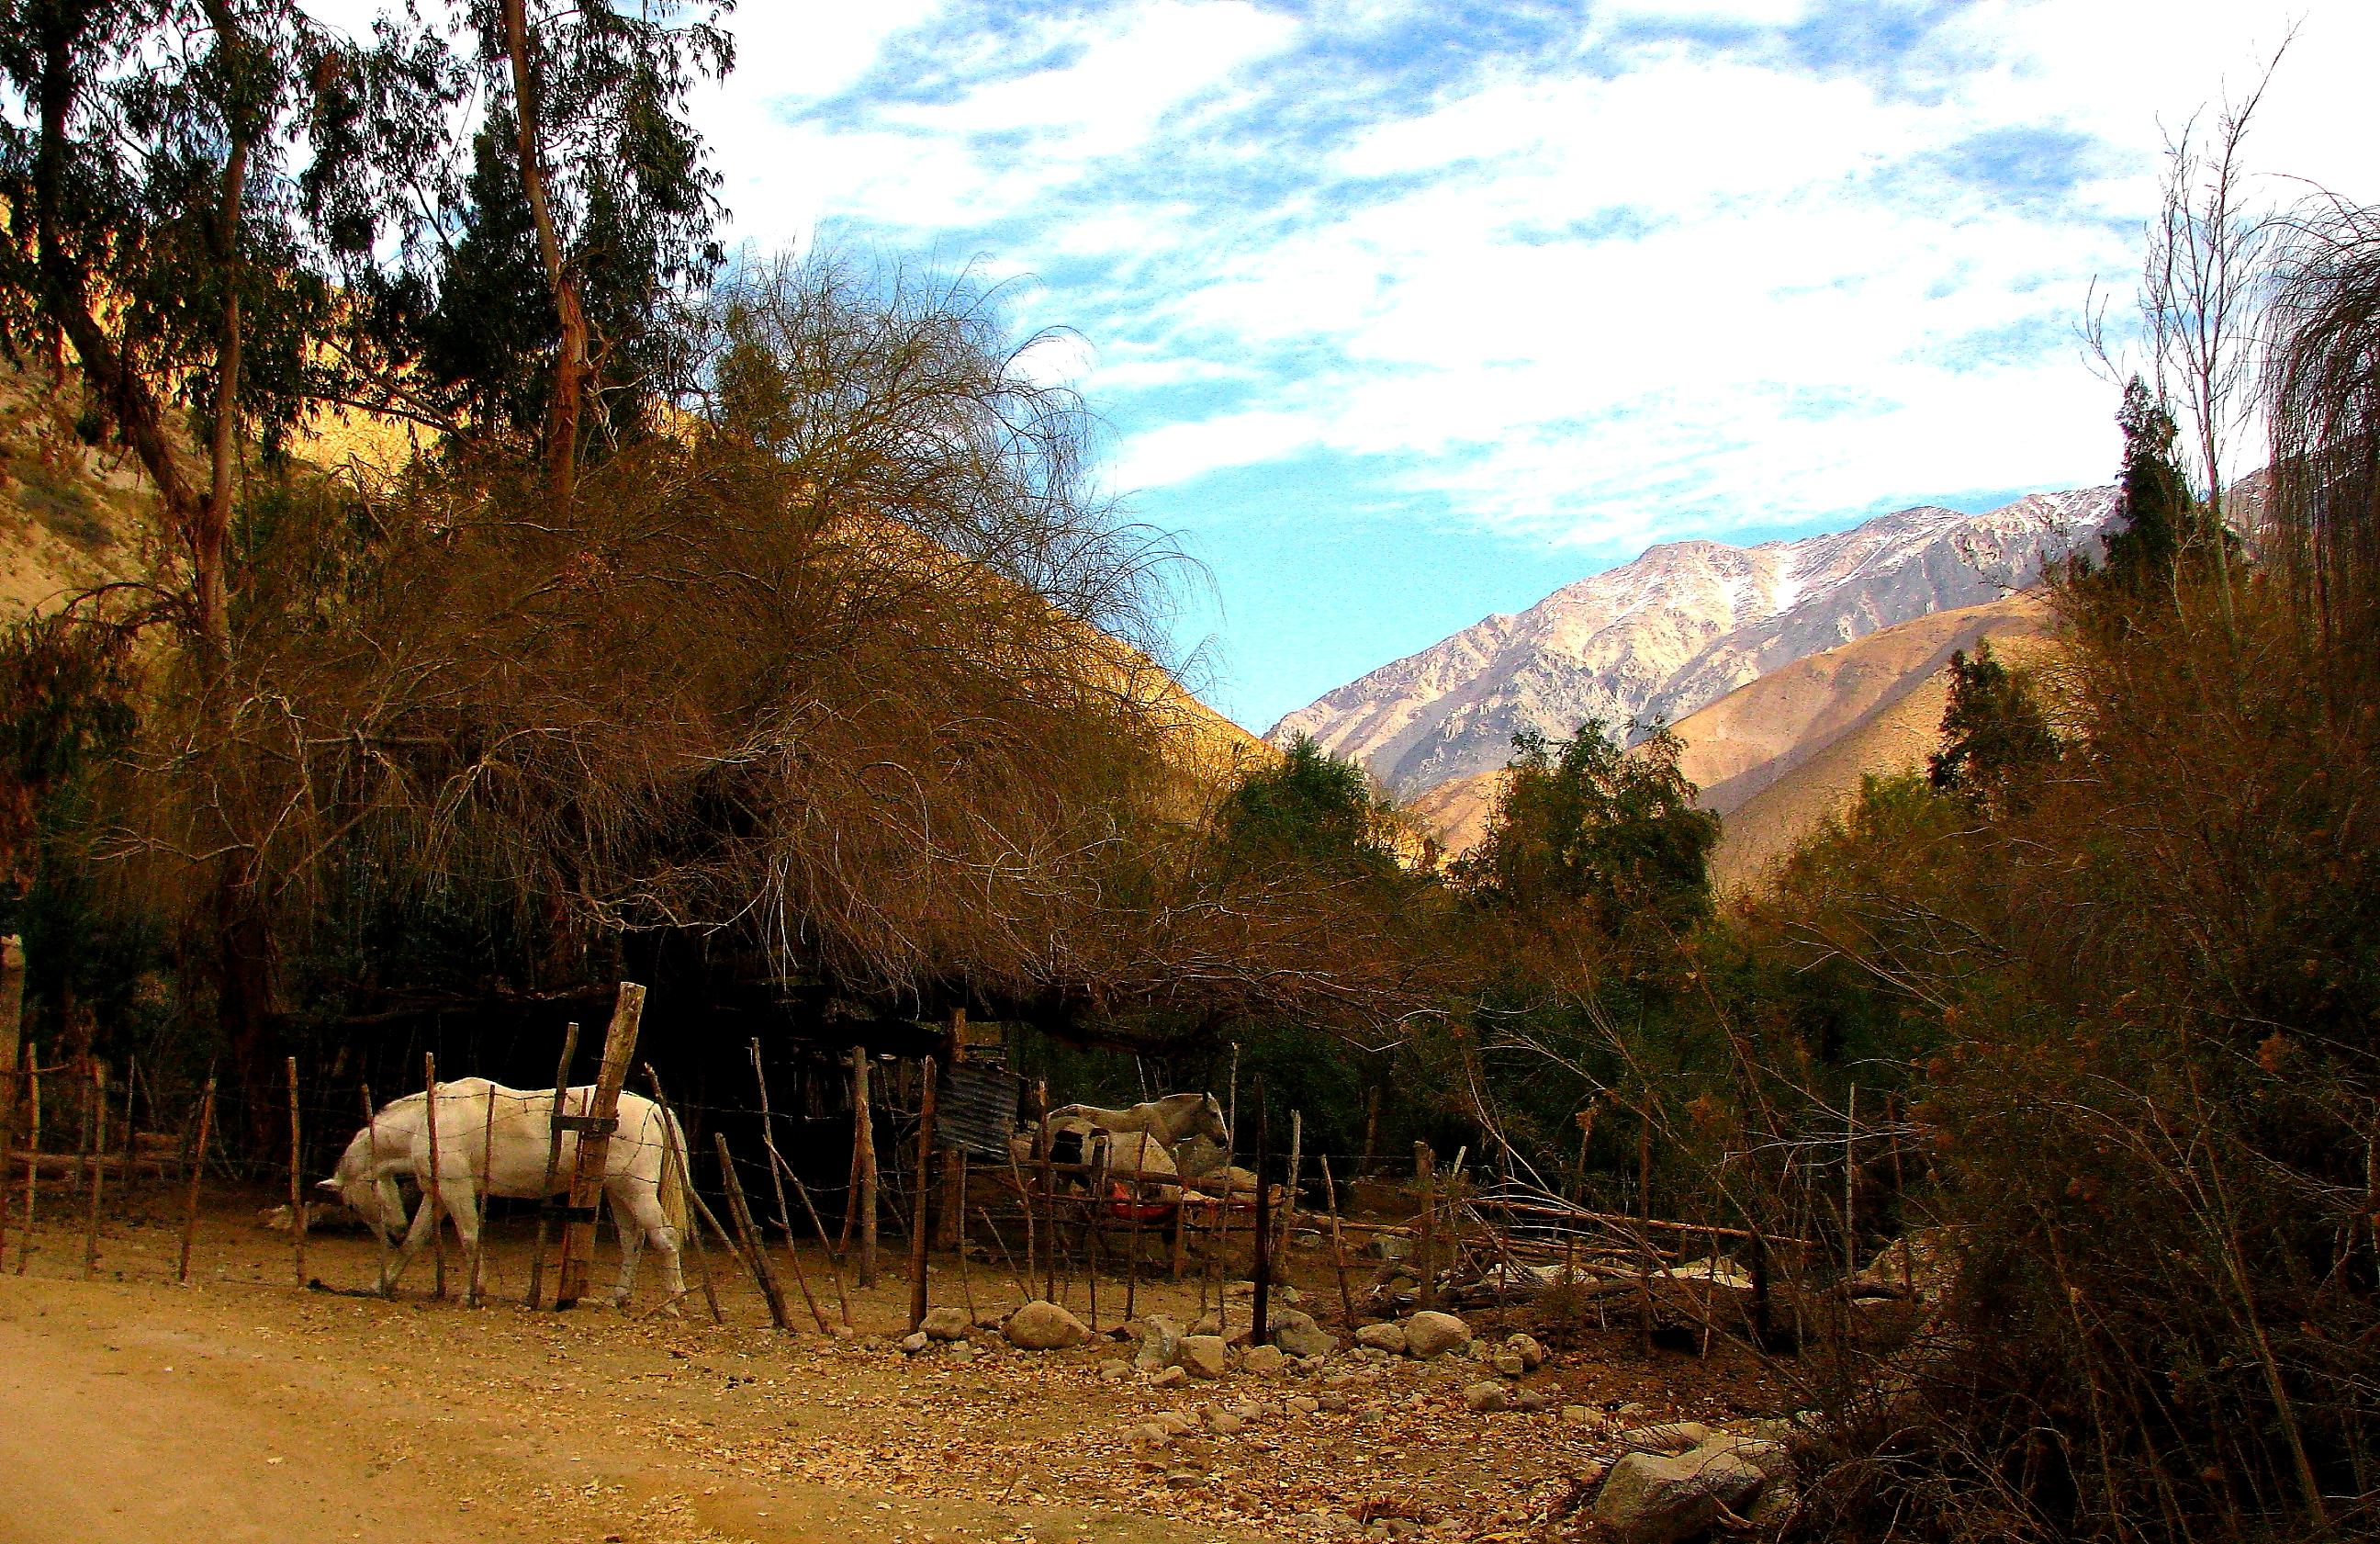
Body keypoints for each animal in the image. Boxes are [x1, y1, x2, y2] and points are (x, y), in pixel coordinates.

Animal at [319, 1079, 690, 1303]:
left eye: (351, 1205)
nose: (390, 1236)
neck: (429, 1122)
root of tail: (653, 1109)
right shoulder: (438, 1194)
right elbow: (415, 1240)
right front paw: (382, 1285)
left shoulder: (456, 1189)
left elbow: (470, 1237)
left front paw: (473, 1293)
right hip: (618, 1192)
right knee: (633, 1241)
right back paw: (619, 1298)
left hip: (637, 1191)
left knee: (665, 1238)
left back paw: (674, 1301)